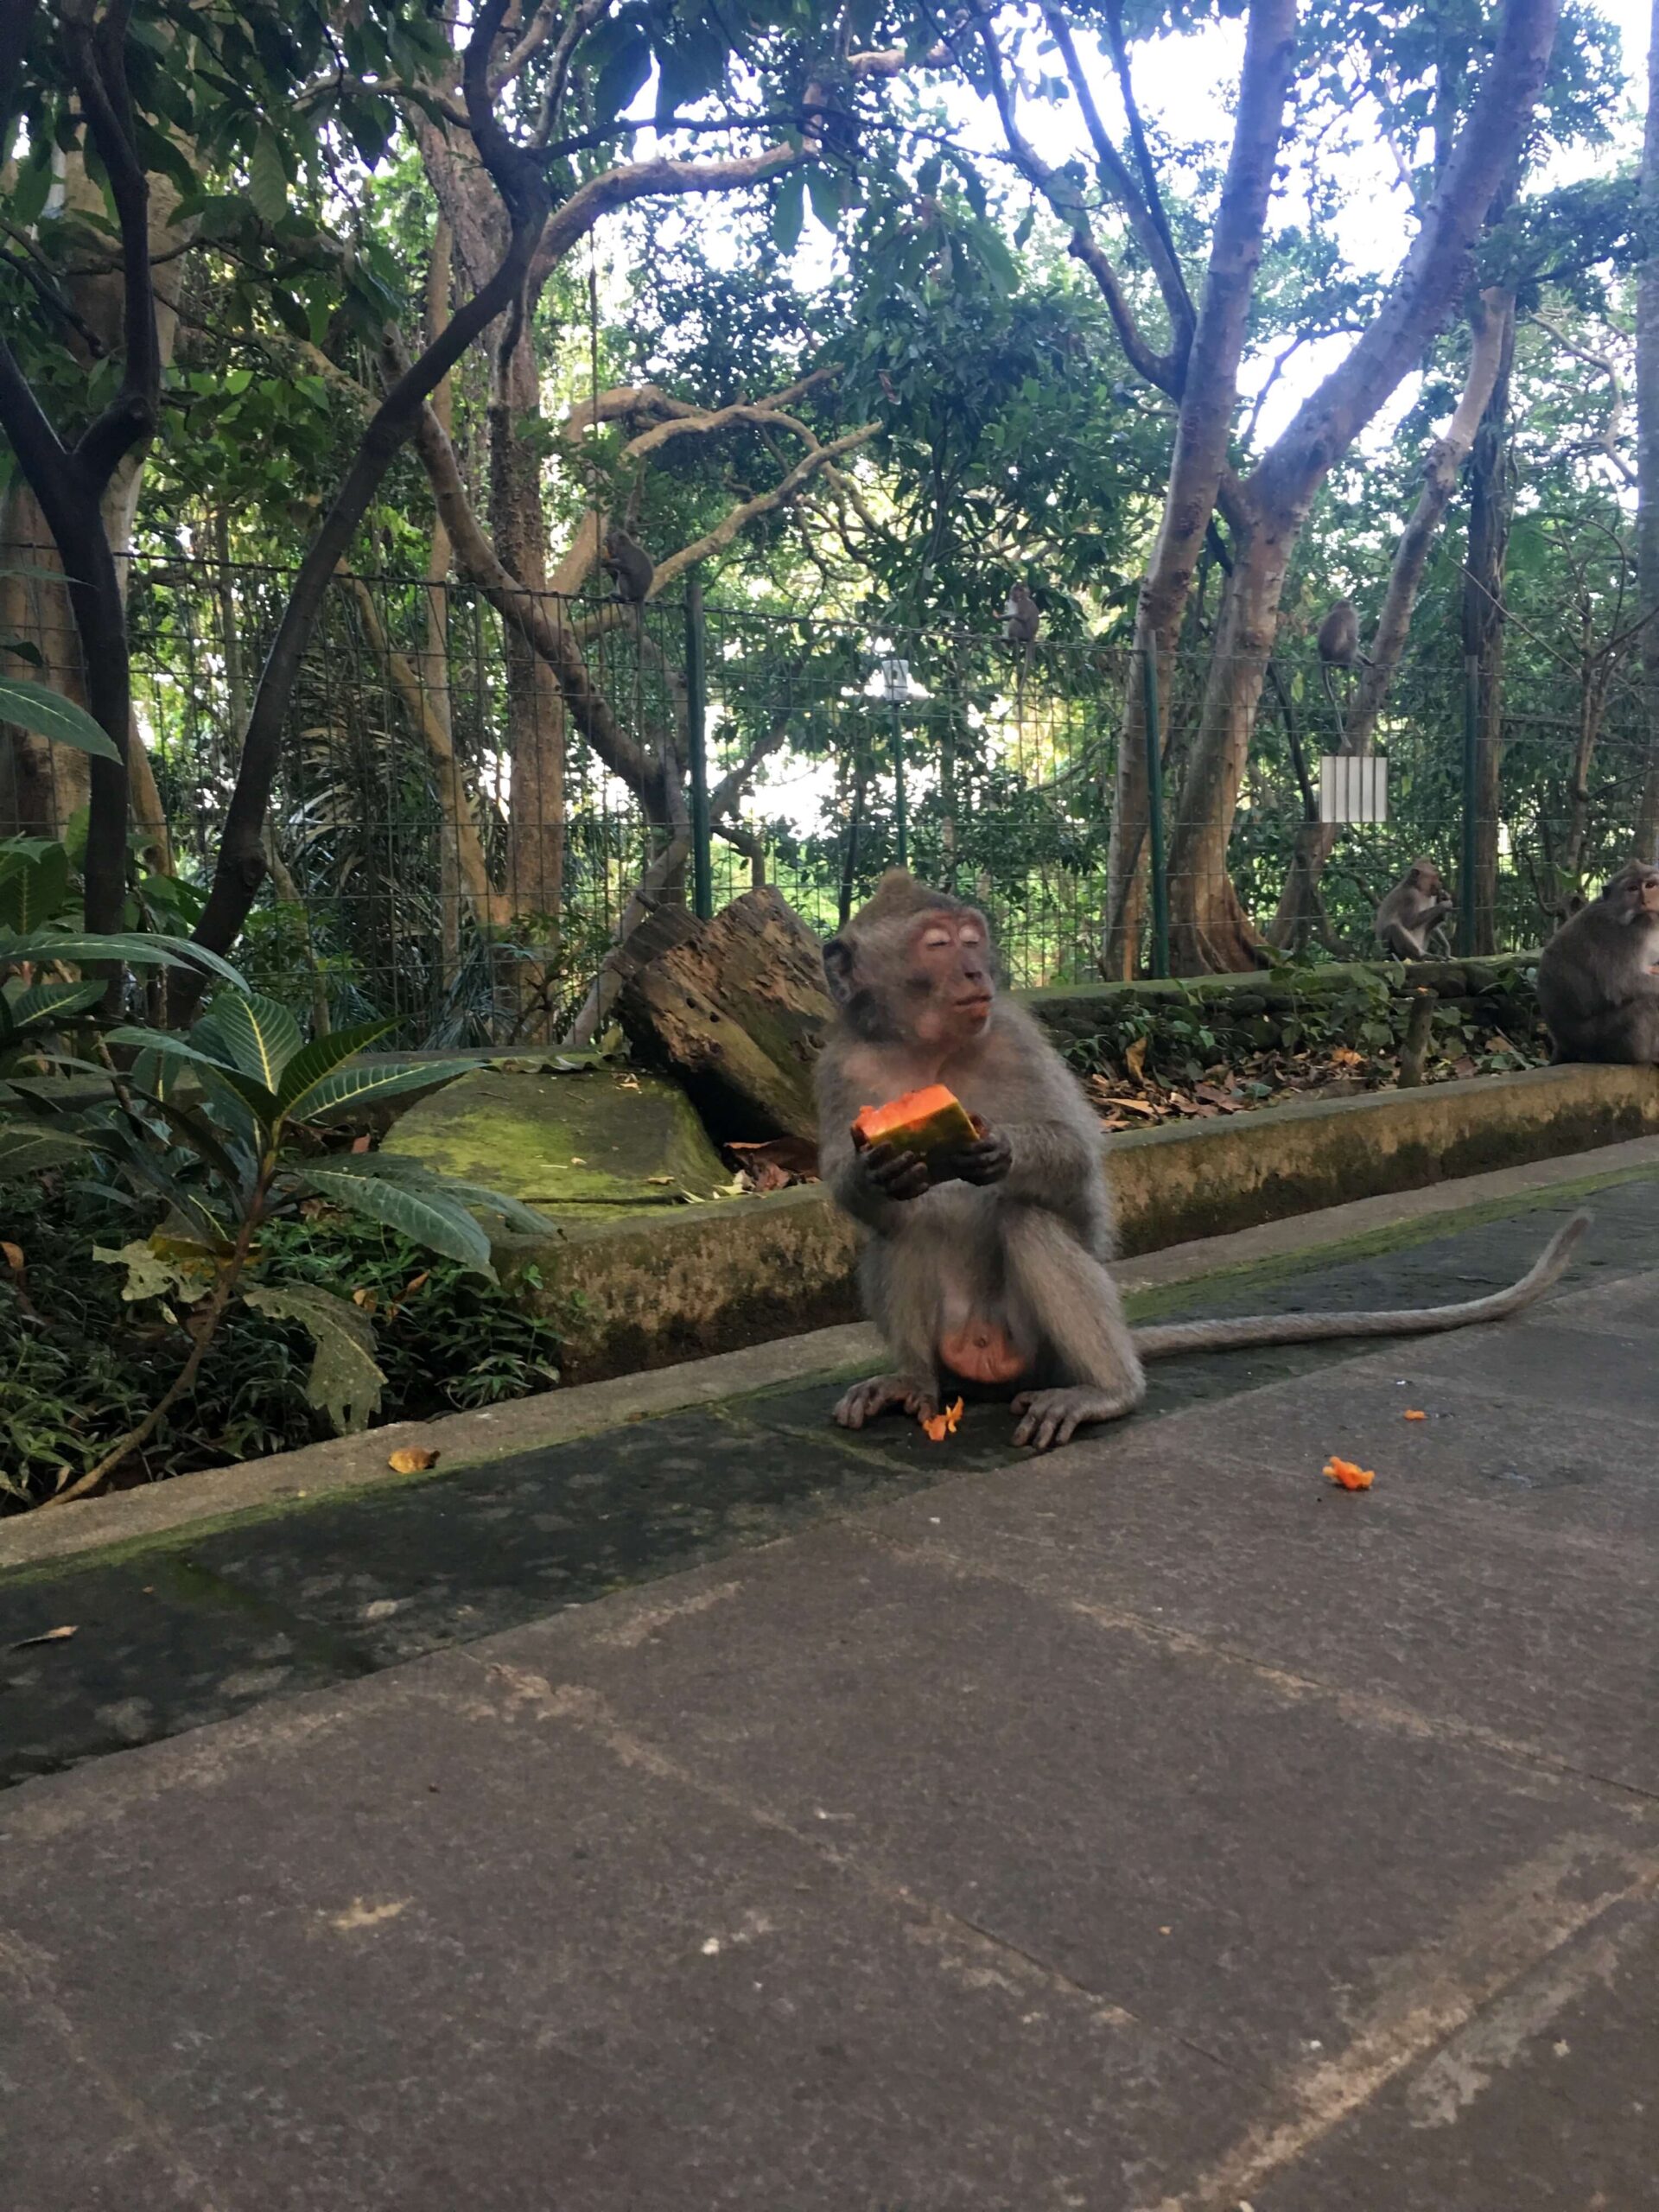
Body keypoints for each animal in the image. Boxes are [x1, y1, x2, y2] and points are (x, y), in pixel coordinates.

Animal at [1539, 858, 1659, 1065]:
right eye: (1633, 888)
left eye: (1650, 885)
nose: (1647, 901)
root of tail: (1562, 1044)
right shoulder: (1619, 937)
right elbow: (1623, 984)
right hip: (1597, 1041)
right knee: (1649, 1002)